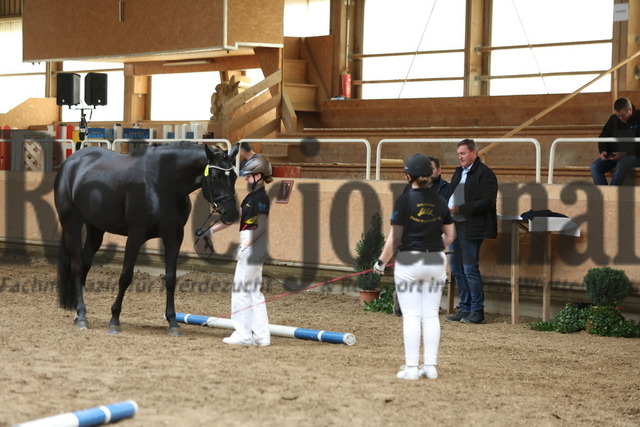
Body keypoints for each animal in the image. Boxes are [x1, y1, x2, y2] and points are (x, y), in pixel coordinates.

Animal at [54, 141, 239, 336]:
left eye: (234, 176)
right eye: (216, 176)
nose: (231, 214)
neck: (161, 183)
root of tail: (71, 162)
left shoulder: (174, 236)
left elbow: (171, 278)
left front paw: (173, 322)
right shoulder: (136, 235)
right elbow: (125, 276)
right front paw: (114, 320)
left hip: (96, 229)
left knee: (85, 264)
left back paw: (78, 313)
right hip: (71, 224)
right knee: (76, 267)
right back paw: (82, 316)